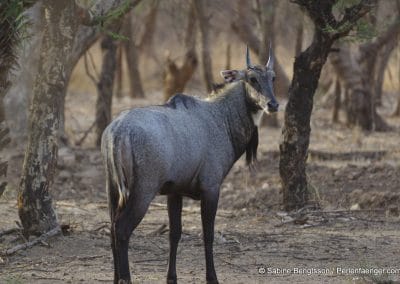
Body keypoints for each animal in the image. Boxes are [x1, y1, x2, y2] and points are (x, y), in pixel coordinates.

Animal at [101, 45, 278, 282]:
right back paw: (125, 278)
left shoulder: (174, 192)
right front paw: (212, 277)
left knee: (112, 228)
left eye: (272, 78)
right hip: (142, 192)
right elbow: (208, 234)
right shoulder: (211, 189)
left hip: (112, 190)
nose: (273, 104)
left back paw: (115, 278)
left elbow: (175, 234)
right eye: (252, 79)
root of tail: (118, 131)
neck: (221, 118)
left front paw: (171, 277)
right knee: (121, 229)